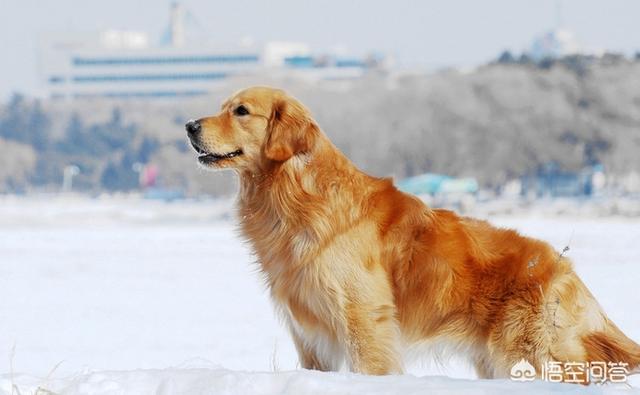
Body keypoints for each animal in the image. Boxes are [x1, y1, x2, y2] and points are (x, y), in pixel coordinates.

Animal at [186, 86, 640, 384]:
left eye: (241, 111)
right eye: (224, 107)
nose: (189, 124)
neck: (297, 194)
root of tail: (566, 270)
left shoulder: (363, 319)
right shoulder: (309, 333)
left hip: (529, 356)